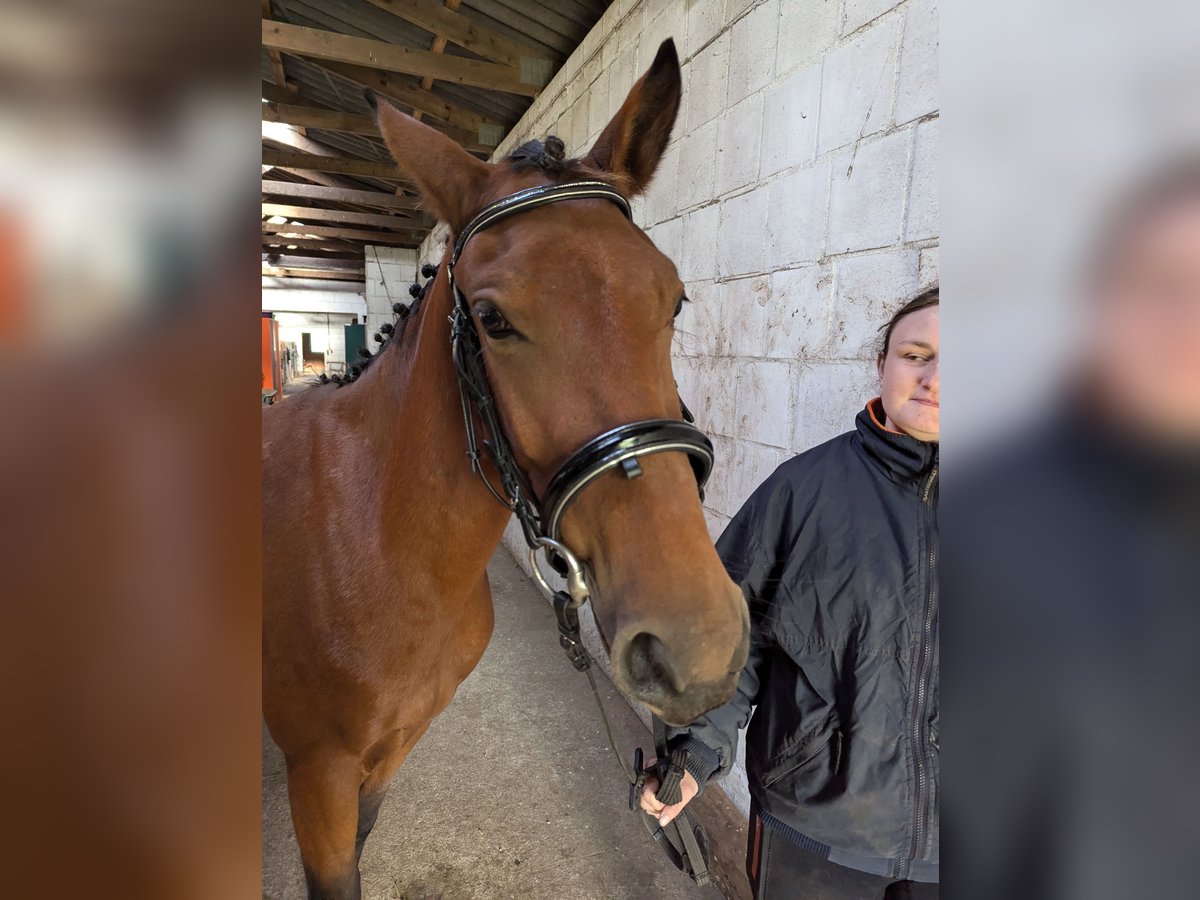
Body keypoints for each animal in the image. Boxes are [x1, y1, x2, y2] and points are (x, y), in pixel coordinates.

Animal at [264, 42, 748, 900]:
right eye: (491, 320)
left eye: (676, 301)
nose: (701, 647)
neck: (376, 543)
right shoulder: (319, 775)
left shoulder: (387, 753)